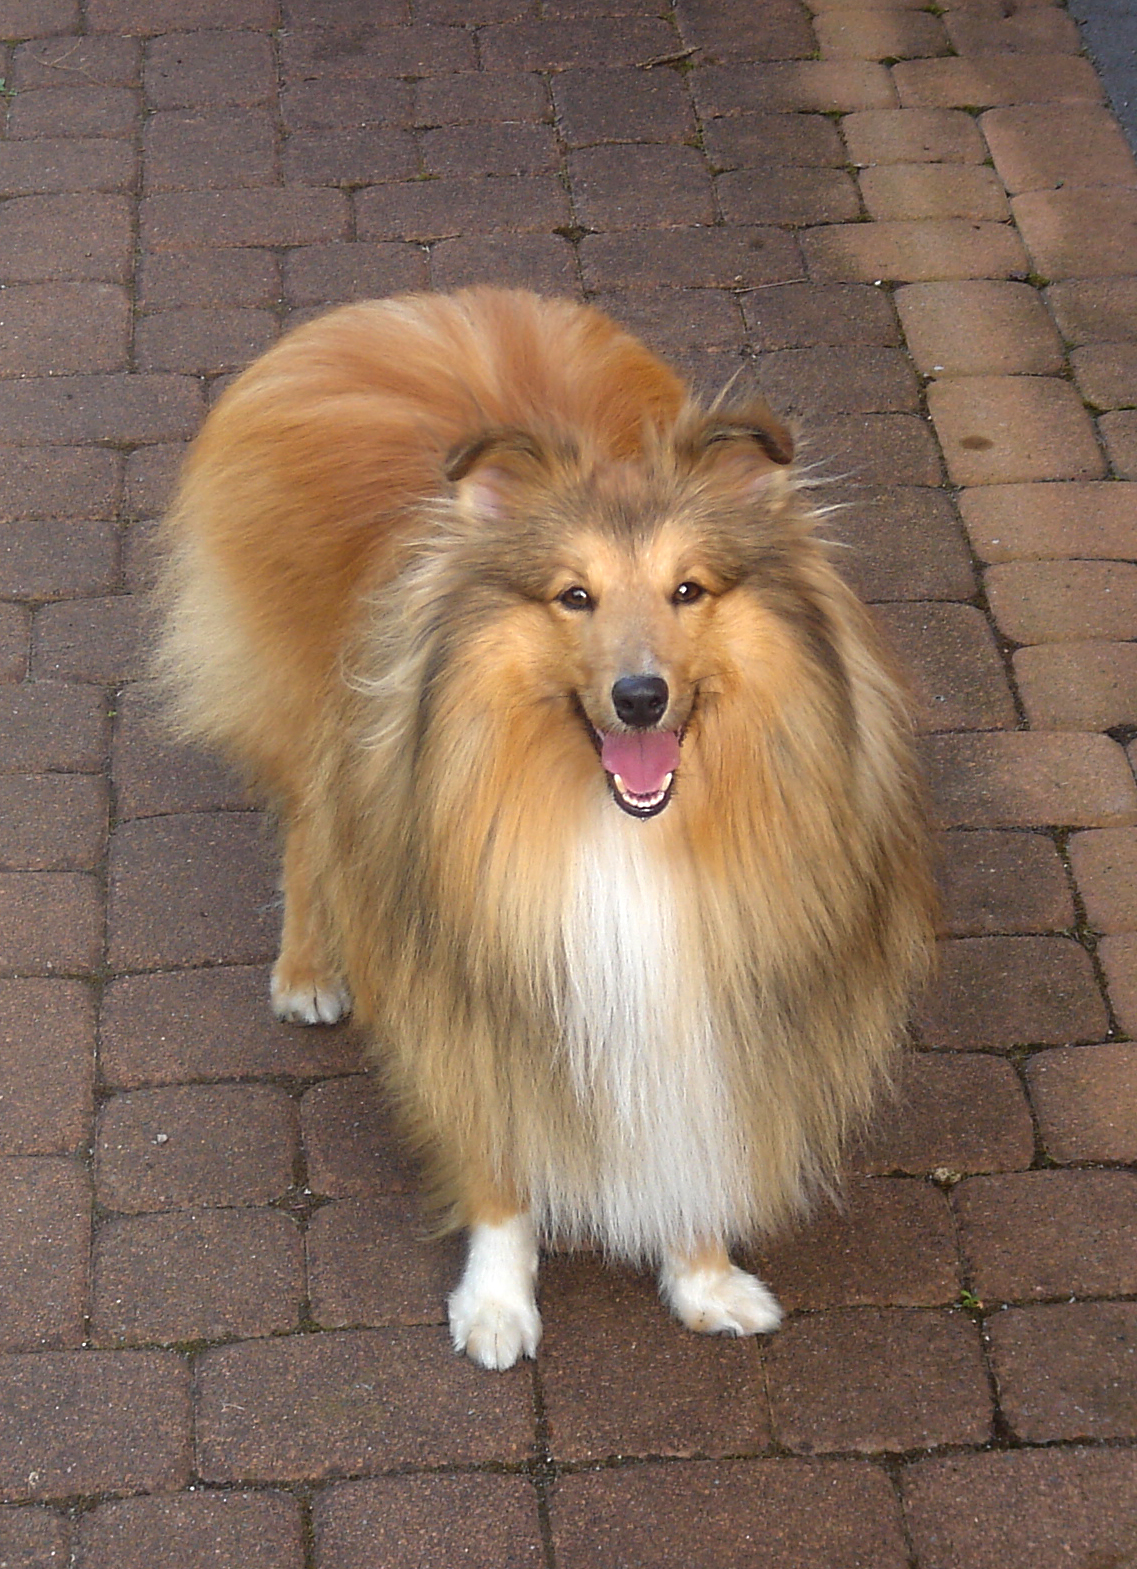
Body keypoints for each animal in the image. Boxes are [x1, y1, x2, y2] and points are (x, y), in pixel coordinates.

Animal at [155, 287, 936, 1370]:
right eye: (575, 595)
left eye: (689, 589)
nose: (641, 697)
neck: (620, 827)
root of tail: (421, 313)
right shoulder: (477, 971)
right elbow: (499, 1148)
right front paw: (495, 1301)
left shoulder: (718, 968)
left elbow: (699, 1128)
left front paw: (703, 1276)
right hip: (309, 717)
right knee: (312, 835)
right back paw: (309, 971)